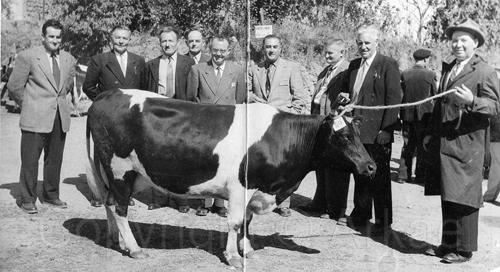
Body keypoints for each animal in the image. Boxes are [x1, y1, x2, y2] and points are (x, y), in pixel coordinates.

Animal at [85, 88, 376, 266]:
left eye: (356, 133)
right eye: (343, 136)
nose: (371, 167)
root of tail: (107, 94)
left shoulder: (255, 190)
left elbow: (247, 222)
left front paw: (247, 250)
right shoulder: (240, 187)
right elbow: (235, 222)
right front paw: (233, 256)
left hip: (131, 175)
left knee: (111, 203)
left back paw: (117, 240)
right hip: (119, 169)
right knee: (120, 208)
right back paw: (134, 248)